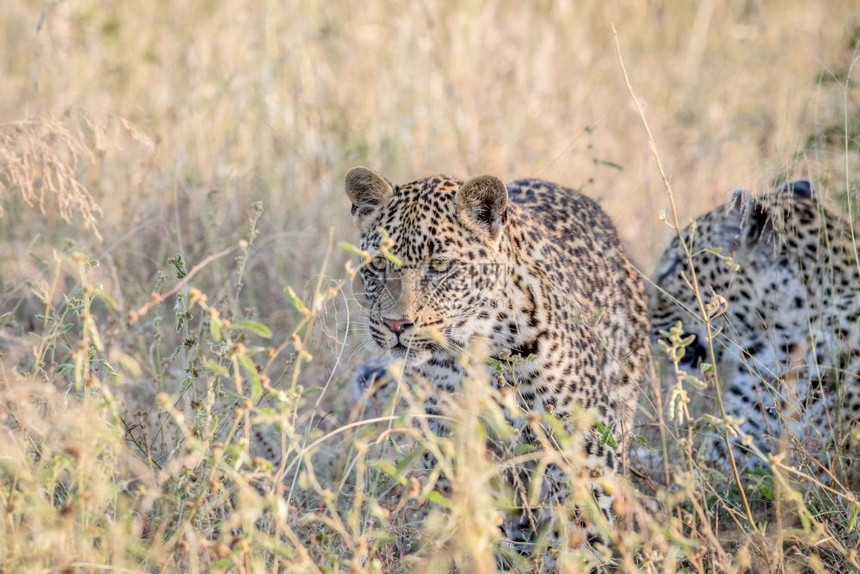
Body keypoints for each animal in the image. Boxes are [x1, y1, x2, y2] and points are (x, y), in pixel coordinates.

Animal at [342, 166, 652, 568]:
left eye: (440, 266)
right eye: (379, 264)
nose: (396, 324)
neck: (469, 350)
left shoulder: (582, 441)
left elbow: (585, 521)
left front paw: (581, 561)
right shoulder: (448, 438)